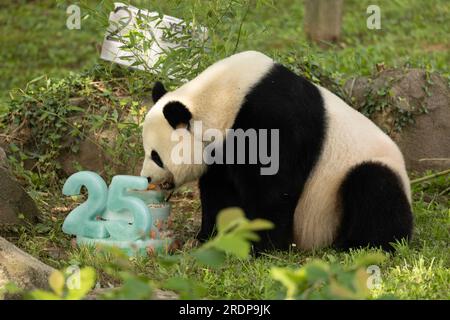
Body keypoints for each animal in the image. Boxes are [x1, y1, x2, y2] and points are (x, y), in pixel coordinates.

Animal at [141, 50, 414, 252]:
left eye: (156, 156)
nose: (146, 177)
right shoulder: (221, 150)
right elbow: (219, 192)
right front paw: (211, 237)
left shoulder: (272, 119)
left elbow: (274, 188)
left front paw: (259, 246)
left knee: (375, 187)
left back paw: (359, 245)